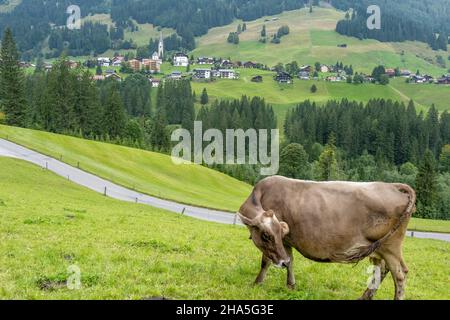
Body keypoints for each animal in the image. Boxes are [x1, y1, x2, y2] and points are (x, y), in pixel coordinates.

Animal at [237, 176, 416, 302]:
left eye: (267, 235)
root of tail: (392, 185)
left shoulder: (278, 244)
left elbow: (265, 261)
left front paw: (256, 283)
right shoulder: (286, 241)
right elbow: (290, 261)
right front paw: (291, 285)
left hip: (391, 246)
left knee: (400, 275)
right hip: (379, 248)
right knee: (380, 270)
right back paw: (364, 297)